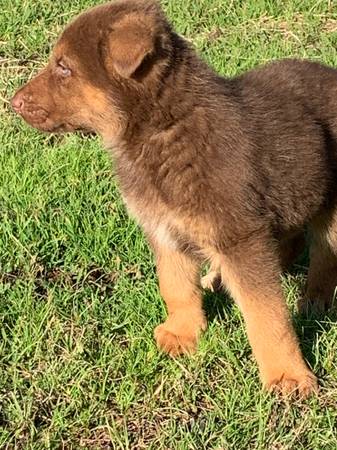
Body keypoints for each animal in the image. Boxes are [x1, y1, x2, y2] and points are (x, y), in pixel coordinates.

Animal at [11, 0, 336, 396]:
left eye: (64, 67)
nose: (13, 102)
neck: (162, 129)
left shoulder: (240, 235)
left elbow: (266, 314)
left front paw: (287, 375)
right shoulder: (164, 228)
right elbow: (175, 286)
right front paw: (183, 334)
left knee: (324, 257)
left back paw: (314, 302)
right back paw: (219, 278)